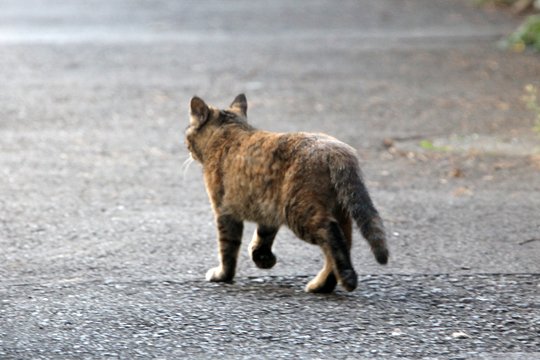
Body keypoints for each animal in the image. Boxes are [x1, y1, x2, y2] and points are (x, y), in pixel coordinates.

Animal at [186, 93, 388, 292]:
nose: (187, 149)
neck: (228, 133)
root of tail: (336, 151)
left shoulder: (225, 211)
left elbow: (227, 248)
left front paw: (223, 275)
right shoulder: (267, 208)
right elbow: (263, 236)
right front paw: (263, 258)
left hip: (299, 211)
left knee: (331, 234)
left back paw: (346, 279)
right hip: (336, 211)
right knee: (343, 244)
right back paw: (322, 285)